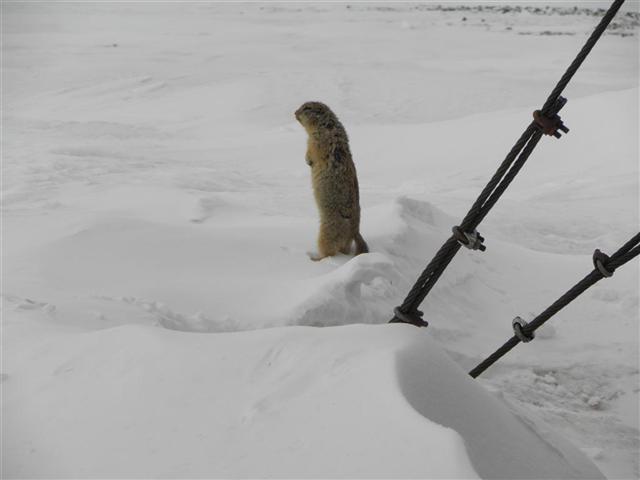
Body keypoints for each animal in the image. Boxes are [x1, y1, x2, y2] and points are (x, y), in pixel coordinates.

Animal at [294, 99, 368, 260]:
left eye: (307, 108)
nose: (294, 112)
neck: (326, 124)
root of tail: (355, 231)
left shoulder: (318, 138)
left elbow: (313, 150)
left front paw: (308, 160)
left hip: (328, 230)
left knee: (329, 251)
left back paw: (316, 258)